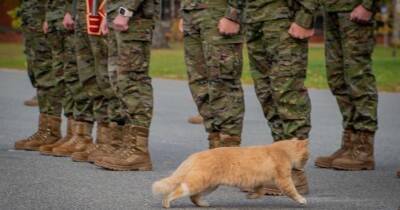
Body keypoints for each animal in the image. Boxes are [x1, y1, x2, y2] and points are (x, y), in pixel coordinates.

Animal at [152, 139, 310, 208]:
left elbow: (260, 192)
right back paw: (167, 203)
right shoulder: (283, 179)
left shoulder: (258, 181)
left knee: (194, 197)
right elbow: (292, 191)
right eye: (306, 156)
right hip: (198, 182)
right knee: (177, 191)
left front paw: (251, 196)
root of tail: (196, 155)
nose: (303, 165)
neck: (284, 150)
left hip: (209, 186)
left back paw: (202, 204)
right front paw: (301, 199)